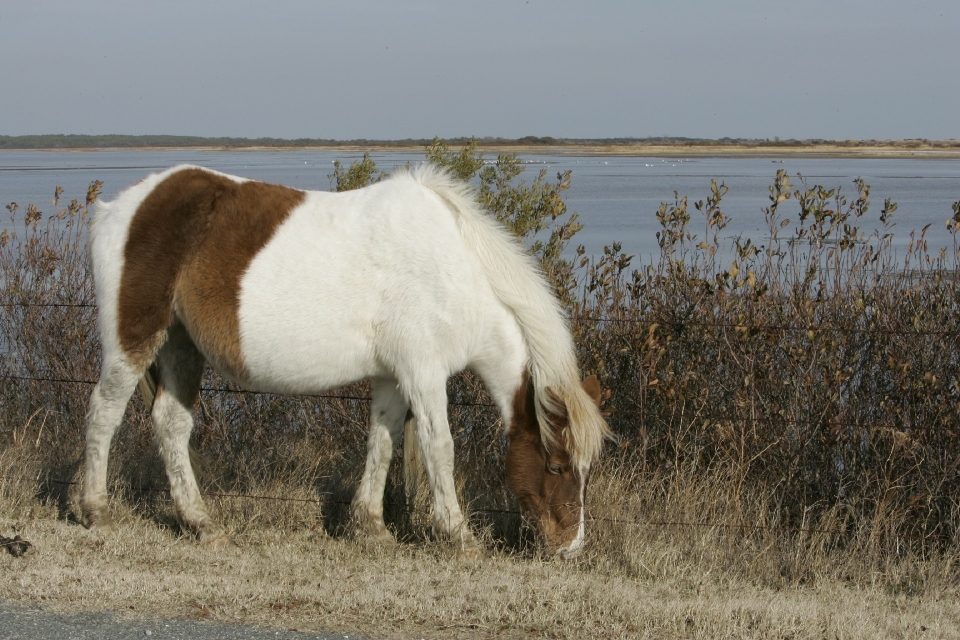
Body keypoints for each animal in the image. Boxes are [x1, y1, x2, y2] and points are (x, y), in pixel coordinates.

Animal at [79, 162, 612, 556]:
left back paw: (199, 522)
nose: (570, 546)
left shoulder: (393, 377)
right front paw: (459, 537)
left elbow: (383, 442)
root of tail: (119, 208)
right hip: (135, 337)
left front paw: (369, 527)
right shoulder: (423, 372)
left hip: (181, 345)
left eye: (586, 470)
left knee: (171, 424)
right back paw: (95, 510)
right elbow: (439, 447)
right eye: (557, 467)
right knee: (103, 412)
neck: (451, 269)